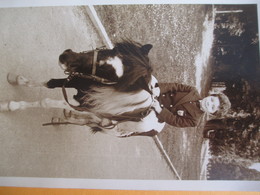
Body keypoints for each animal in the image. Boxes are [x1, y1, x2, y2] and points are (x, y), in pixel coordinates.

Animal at [0, 40, 166, 137]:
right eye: (110, 50)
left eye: (108, 73)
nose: (65, 56)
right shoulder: (77, 82)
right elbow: (50, 83)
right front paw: (15, 79)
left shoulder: (82, 103)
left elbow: (45, 102)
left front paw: (9, 106)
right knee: (87, 119)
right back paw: (63, 118)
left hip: (108, 127)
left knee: (88, 122)